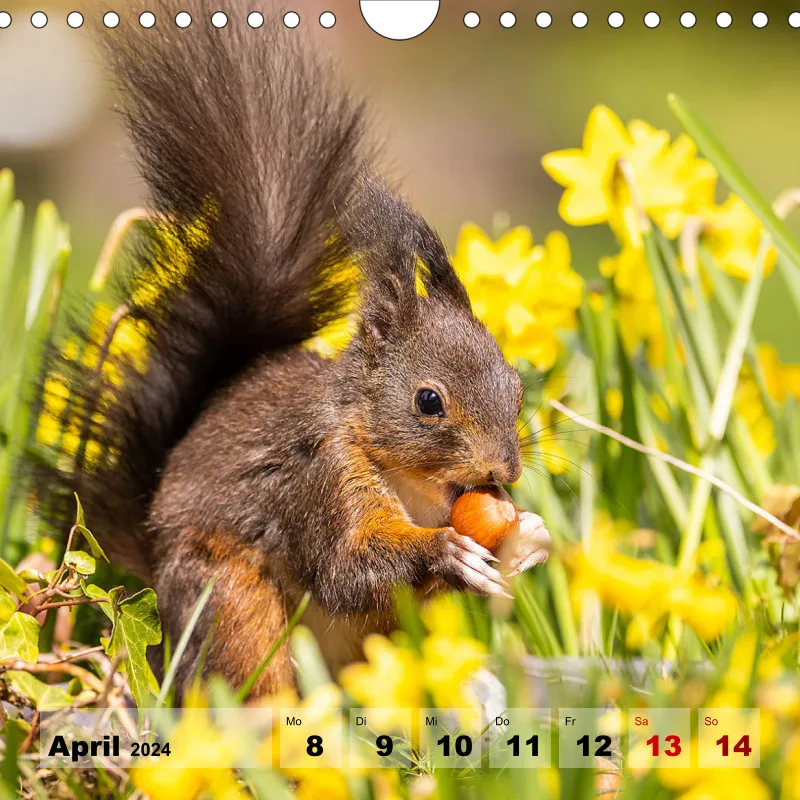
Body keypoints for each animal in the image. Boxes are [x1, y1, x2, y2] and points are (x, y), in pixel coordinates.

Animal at [33, 0, 548, 699]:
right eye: (428, 401)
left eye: (517, 390)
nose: (504, 472)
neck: (413, 487)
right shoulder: (318, 479)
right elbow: (346, 569)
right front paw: (445, 550)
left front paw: (529, 538)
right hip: (231, 603)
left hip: (374, 644)